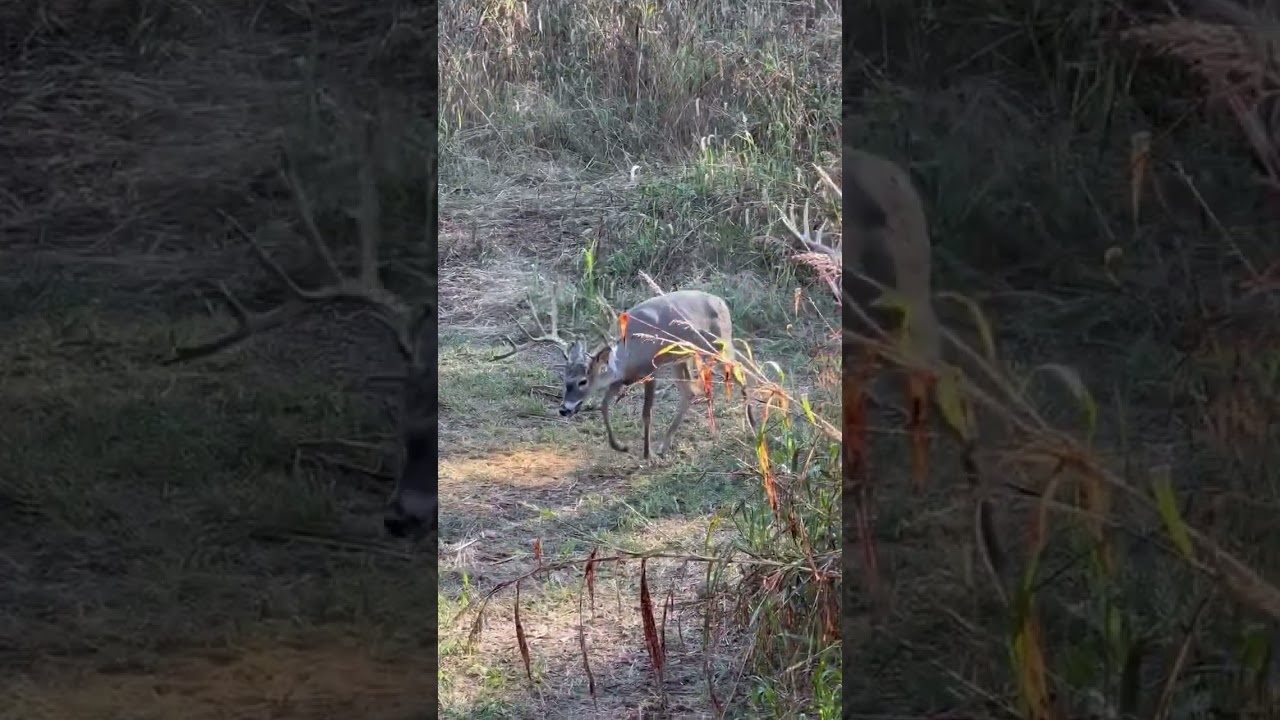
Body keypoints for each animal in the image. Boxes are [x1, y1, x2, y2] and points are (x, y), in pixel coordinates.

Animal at [494, 285, 757, 460]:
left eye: (582, 381)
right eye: (564, 378)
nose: (564, 409)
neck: (627, 357)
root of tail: (722, 302)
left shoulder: (651, 370)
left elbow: (646, 413)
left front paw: (646, 454)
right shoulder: (620, 380)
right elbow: (604, 406)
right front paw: (621, 446)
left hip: (717, 344)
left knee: (739, 370)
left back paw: (753, 426)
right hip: (683, 356)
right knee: (691, 391)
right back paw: (665, 445)